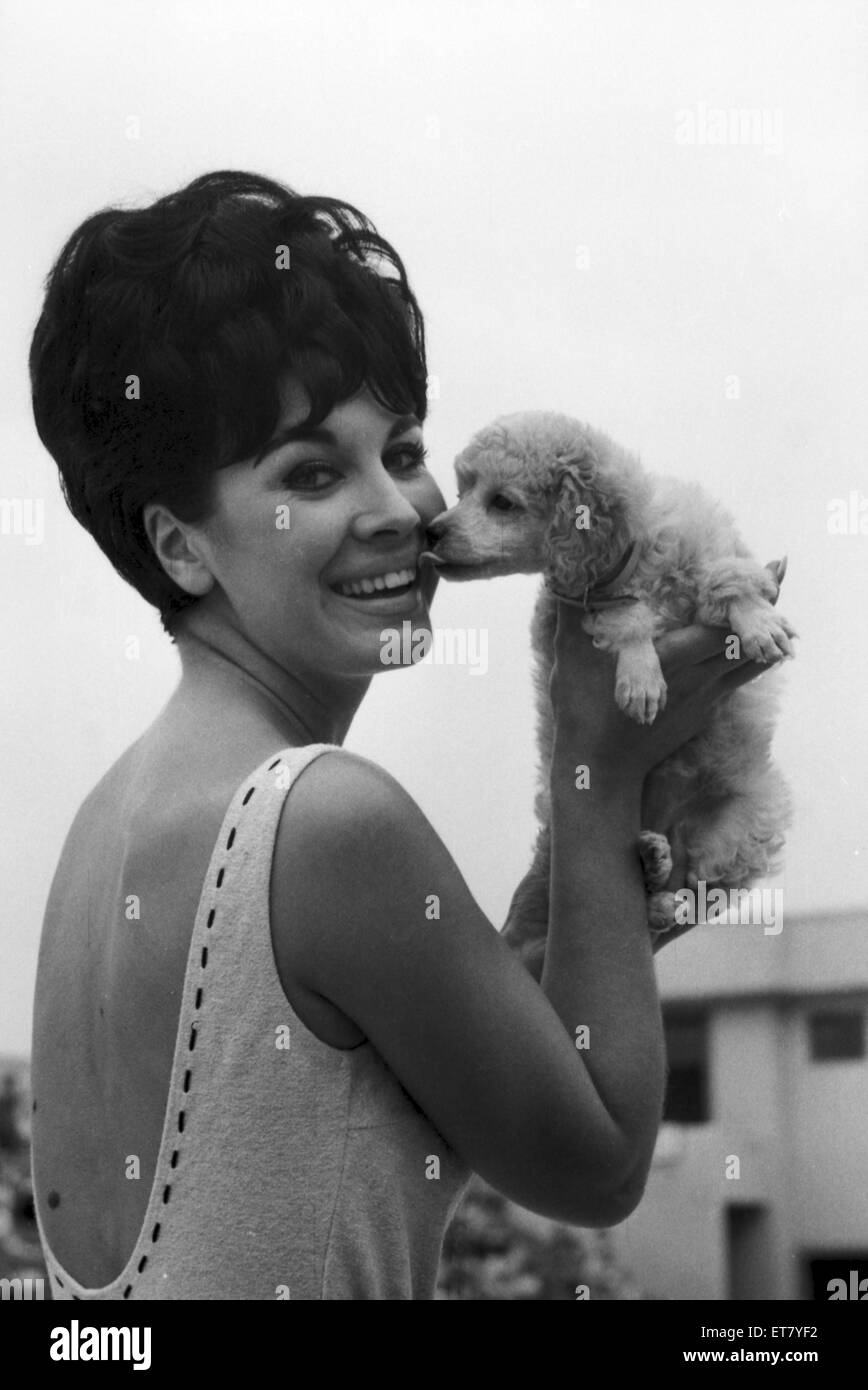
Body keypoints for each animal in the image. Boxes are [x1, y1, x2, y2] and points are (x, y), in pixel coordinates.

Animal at [422, 411, 795, 973]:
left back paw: (660, 877)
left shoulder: (705, 547)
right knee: (659, 901)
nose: (431, 530)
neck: (634, 558)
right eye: (463, 491)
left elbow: (727, 578)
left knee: (696, 888)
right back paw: (652, 872)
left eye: (502, 502)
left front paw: (757, 624)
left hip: (740, 829)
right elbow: (625, 618)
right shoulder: (580, 606)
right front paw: (641, 679)